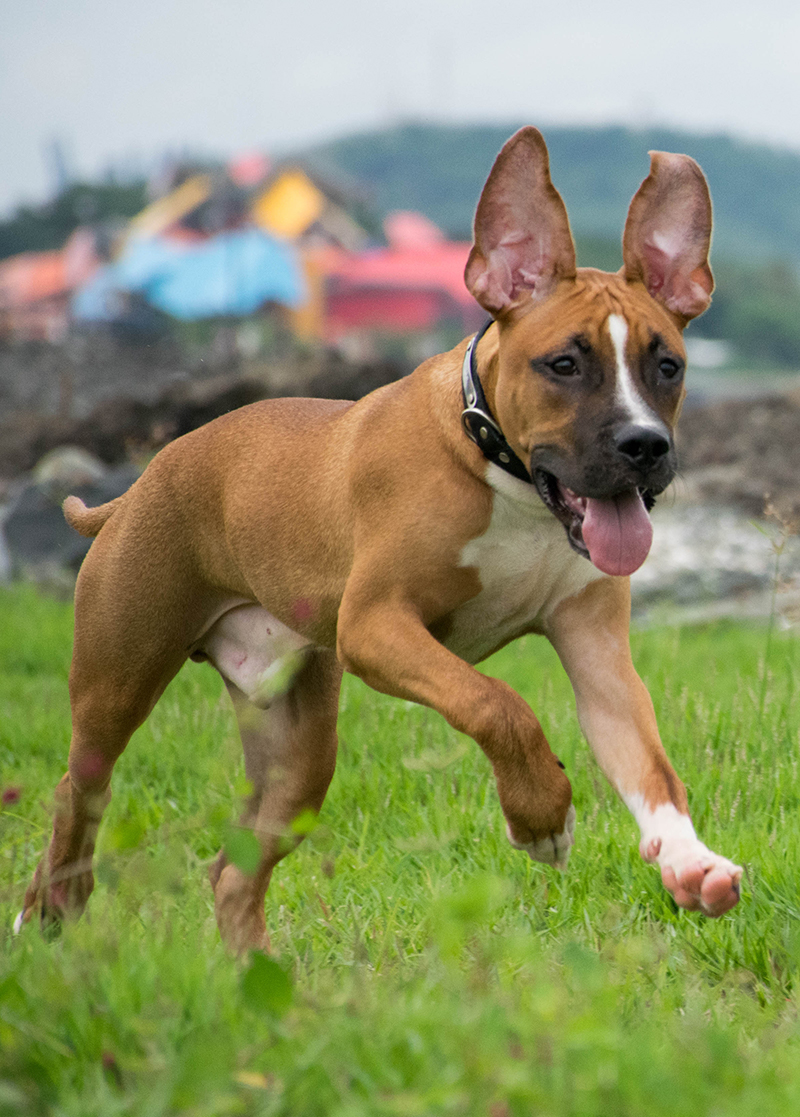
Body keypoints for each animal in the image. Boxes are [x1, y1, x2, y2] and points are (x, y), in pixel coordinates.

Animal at [18, 128, 741, 951]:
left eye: (668, 366)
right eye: (563, 364)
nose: (645, 444)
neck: (513, 484)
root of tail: (136, 487)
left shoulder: (598, 657)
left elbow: (650, 765)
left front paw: (689, 861)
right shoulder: (377, 625)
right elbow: (497, 703)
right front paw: (540, 815)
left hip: (297, 750)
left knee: (233, 870)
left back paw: (253, 971)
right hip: (117, 679)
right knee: (79, 789)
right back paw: (50, 909)